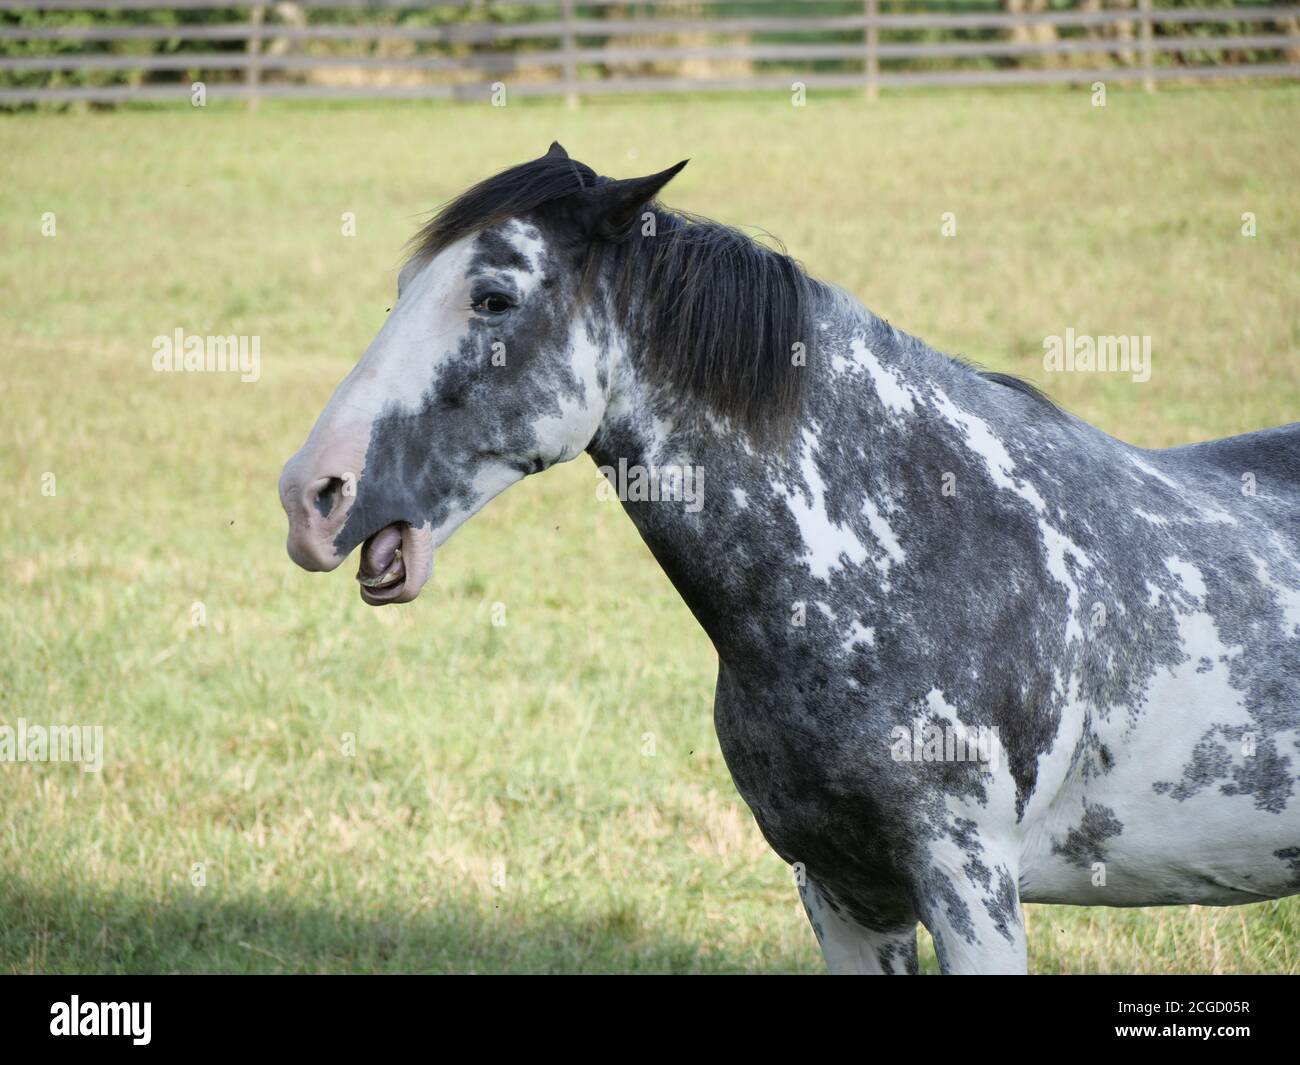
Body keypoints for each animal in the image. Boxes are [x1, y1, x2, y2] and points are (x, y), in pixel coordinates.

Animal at [278, 144, 1300, 974]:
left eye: (493, 297)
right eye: (405, 283)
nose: (309, 496)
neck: (906, 556)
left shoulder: (973, 886)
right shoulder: (840, 889)